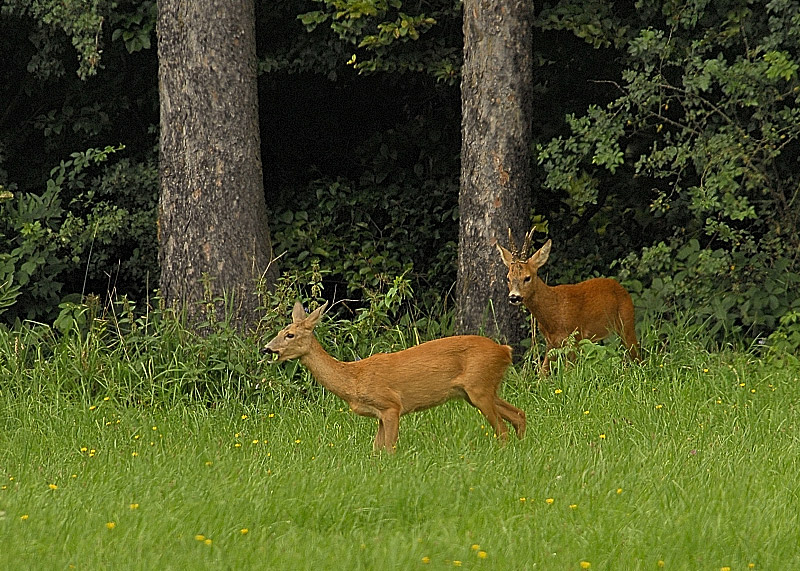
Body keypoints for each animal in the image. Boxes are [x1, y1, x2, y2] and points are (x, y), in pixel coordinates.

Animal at [262, 302, 524, 454]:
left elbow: (389, 449)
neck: (353, 379)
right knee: (518, 415)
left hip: (479, 387)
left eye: (290, 335)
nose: (267, 348)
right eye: (279, 332)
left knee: (502, 429)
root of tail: (505, 351)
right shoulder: (379, 414)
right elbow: (376, 449)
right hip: (478, 390)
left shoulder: (391, 406)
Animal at [496, 230, 640, 378]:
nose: (514, 297)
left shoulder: (574, 338)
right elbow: (543, 373)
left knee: (637, 355)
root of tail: (621, 288)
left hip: (627, 322)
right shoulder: (551, 343)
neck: (553, 311)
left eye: (527, 277)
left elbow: (568, 373)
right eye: (508, 278)